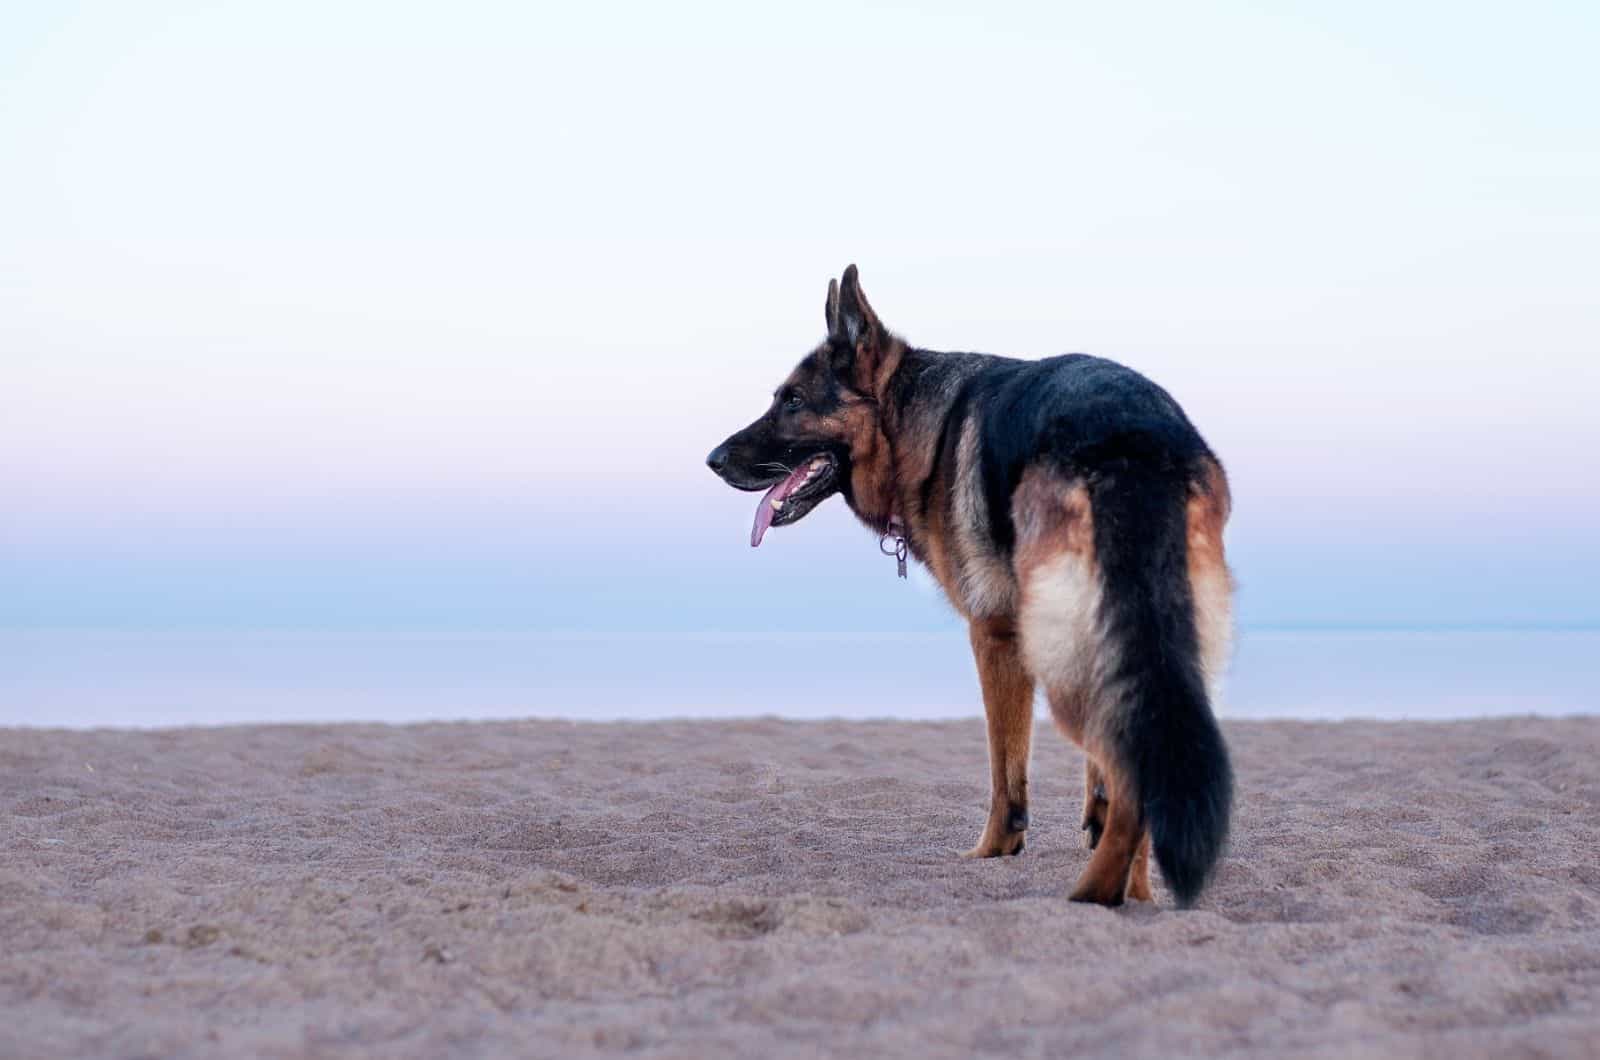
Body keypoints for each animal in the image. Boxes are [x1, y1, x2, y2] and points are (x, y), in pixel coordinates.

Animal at [710, 267, 1235, 915]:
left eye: (793, 401)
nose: (713, 459)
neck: (913, 423)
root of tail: (1133, 440)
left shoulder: (994, 637)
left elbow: (1005, 772)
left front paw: (992, 850)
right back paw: (1132, 891)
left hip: (1064, 662)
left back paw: (1094, 893)